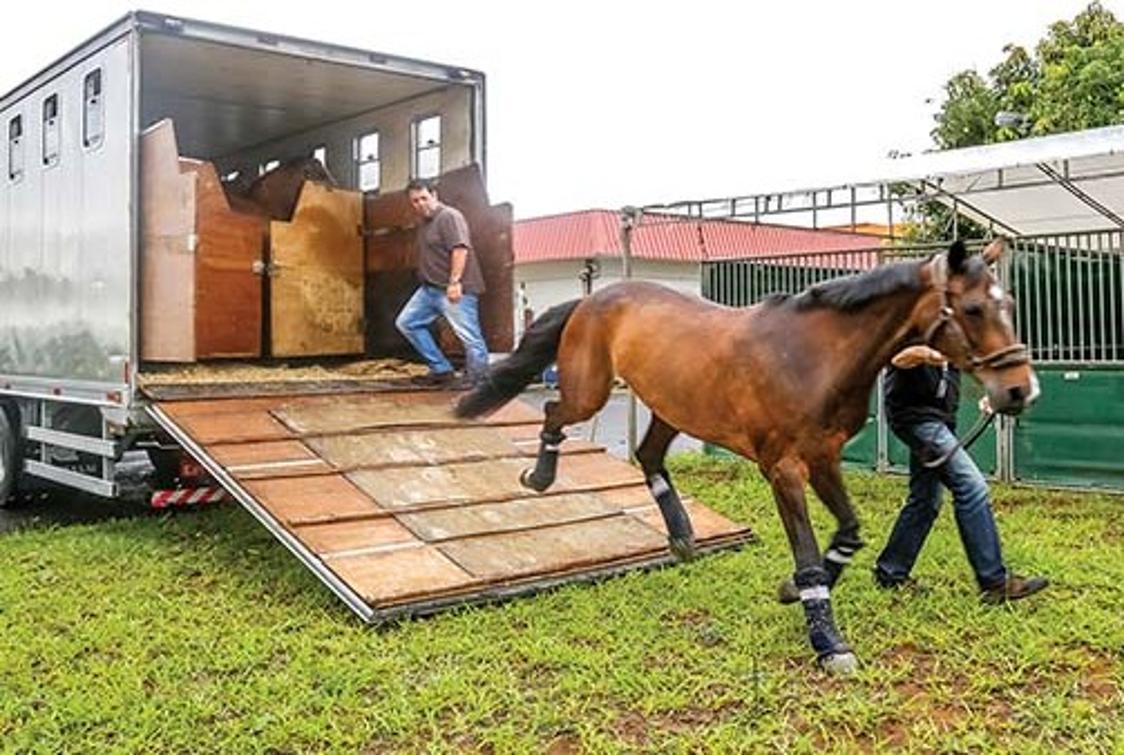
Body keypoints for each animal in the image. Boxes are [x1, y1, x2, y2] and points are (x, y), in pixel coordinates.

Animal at [456, 240, 1034, 674]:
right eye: (974, 309)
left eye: (1009, 306)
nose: (1019, 391)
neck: (815, 357)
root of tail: (594, 297)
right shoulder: (784, 468)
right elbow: (808, 551)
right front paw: (829, 642)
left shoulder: (823, 458)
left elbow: (849, 532)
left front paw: (793, 591)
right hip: (589, 391)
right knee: (556, 412)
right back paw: (539, 476)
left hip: (674, 405)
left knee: (647, 456)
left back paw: (682, 536)